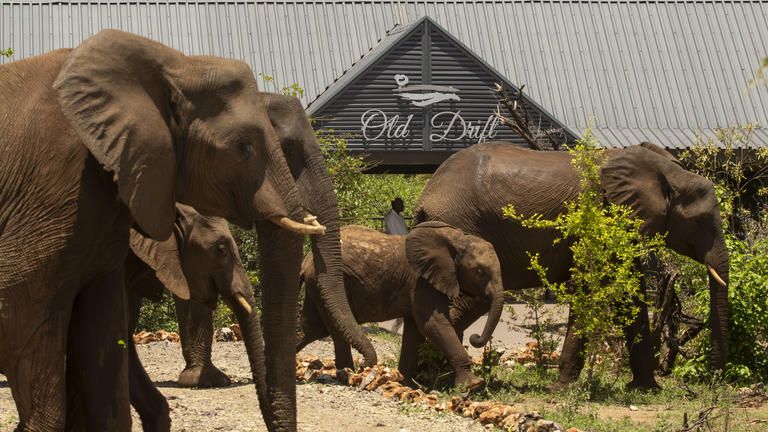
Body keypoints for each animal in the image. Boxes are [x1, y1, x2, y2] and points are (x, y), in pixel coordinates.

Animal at [0, 30, 369, 432]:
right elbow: (24, 309)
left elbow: (106, 333)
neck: (175, 64)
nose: (365, 368)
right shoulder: (51, 185)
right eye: (245, 147)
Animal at [297, 222, 504, 390]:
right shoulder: (422, 281)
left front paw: (406, 384)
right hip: (323, 283)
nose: (475, 337)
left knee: (312, 329)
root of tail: (306, 259)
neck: (456, 239)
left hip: (317, 287)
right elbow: (433, 324)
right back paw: (347, 375)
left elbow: (415, 329)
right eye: (480, 272)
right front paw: (474, 386)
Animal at [415, 142, 729, 390]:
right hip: (463, 225)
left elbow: (629, 292)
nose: (713, 382)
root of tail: (426, 195)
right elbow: (589, 286)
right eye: (700, 222)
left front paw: (646, 389)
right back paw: (438, 378)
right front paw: (562, 388)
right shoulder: (600, 215)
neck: (664, 171)